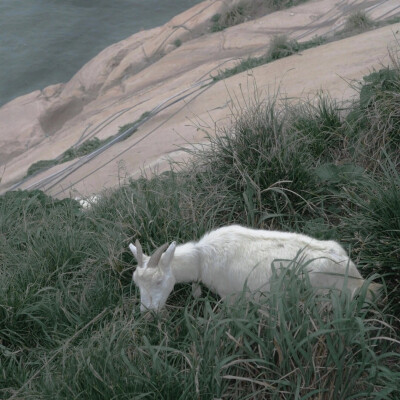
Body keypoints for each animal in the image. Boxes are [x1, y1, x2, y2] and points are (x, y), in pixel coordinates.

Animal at [129, 225, 382, 312]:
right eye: (136, 283)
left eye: (159, 281)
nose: (147, 312)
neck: (201, 258)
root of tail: (359, 279)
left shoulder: (232, 298)